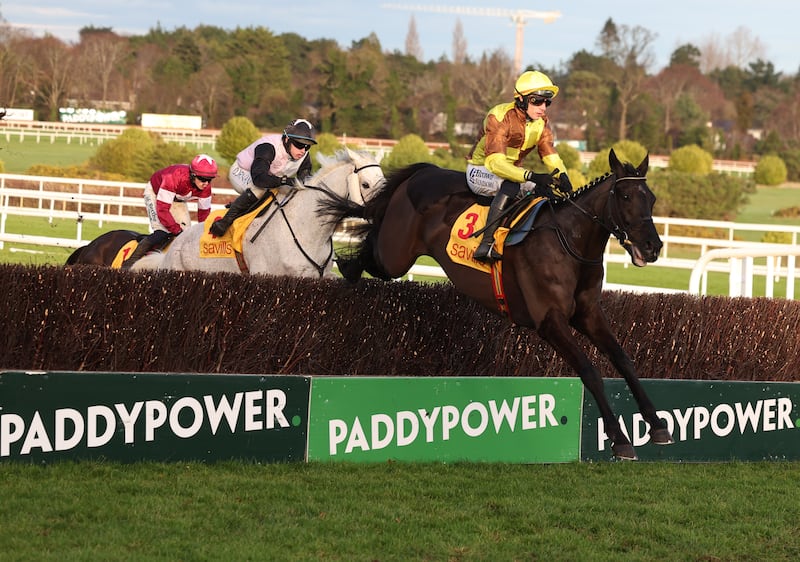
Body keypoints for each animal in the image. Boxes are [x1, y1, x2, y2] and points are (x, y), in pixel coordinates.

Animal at [326, 150, 676, 460]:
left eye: (651, 198)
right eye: (626, 196)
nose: (652, 246)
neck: (570, 244)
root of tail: (425, 172)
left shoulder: (589, 314)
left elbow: (623, 359)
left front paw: (657, 424)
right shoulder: (549, 321)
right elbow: (590, 372)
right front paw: (619, 440)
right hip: (396, 255)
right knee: (374, 247)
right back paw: (348, 265)